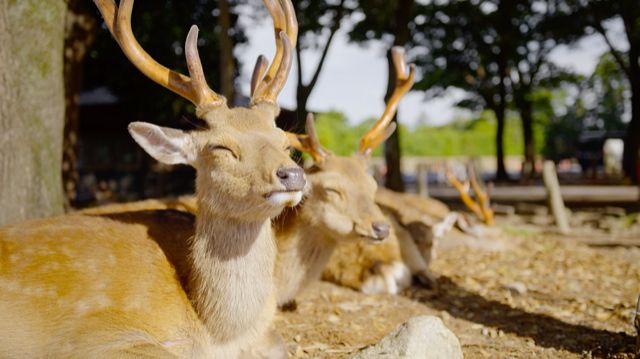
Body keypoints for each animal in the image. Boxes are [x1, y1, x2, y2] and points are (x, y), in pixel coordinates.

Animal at [0, 0, 302, 359]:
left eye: (285, 142)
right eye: (220, 147)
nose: (292, 174)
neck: (217, 333)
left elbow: (280, 343)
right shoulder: (84, 336)